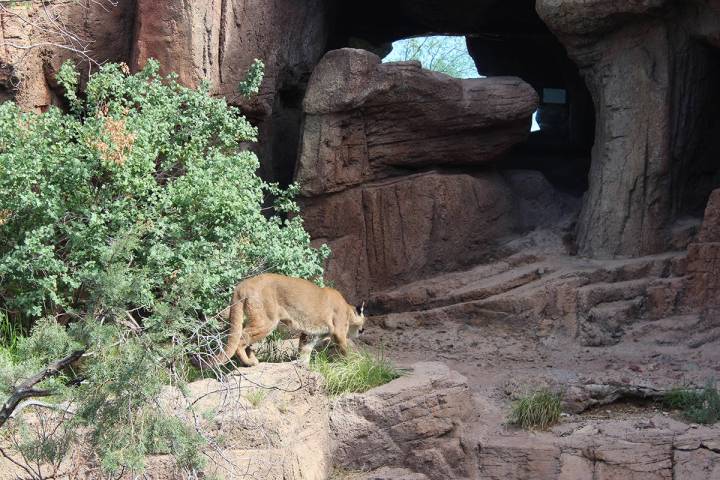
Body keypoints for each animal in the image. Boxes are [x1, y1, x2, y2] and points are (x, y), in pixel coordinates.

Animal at [194, 274, 366, 368]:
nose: (363, 330)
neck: (348, 308)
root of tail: (241, 285)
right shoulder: (338, 331)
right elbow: (344, 348)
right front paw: (353, 362)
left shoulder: (313, 333)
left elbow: (305, 347)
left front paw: (303, 363)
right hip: (267, 321)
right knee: (242, 337)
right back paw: (249, 363)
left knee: (244, 338)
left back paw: (252, 359)